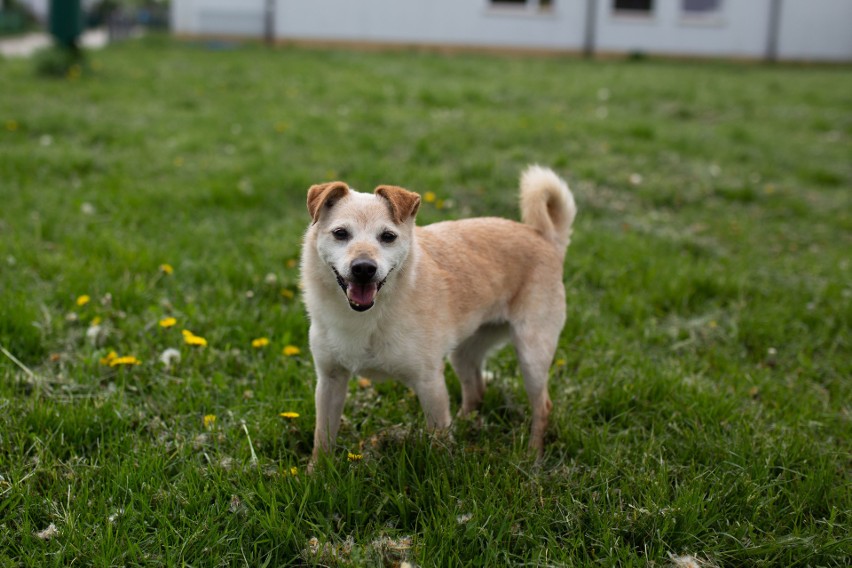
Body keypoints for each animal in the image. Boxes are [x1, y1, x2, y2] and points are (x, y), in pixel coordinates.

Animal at [302, 164, 580, 462]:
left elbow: (438, 443)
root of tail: (544, 237)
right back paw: (466, 426)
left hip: (532, 355)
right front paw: (317, 471)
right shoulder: (330, 381)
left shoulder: (429, 383)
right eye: (340, 233)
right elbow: (322, 439)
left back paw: (532, 456)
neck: (367, 315)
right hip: (464, 352)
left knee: (543, 407)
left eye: (387, 237)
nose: (364, 267)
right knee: (476, 389)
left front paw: (443, 466)